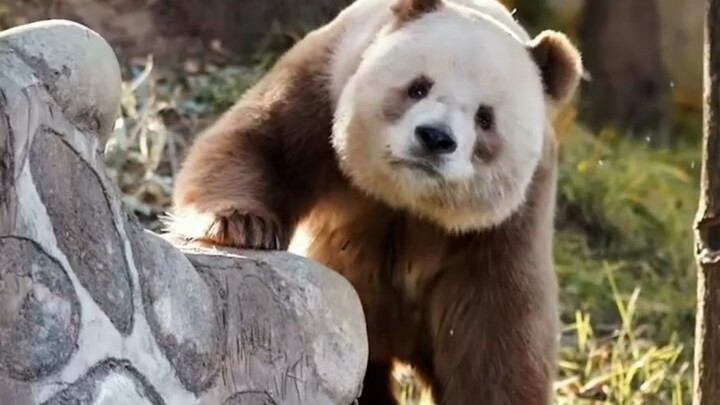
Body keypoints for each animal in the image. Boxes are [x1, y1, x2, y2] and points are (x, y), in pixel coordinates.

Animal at [166, 0, 582, 403]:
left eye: (485, 117)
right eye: (418, 87)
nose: (434, 137)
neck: (407, 198)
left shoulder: (511, 221)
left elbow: (495, 340)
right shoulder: (327, 81)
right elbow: (261, 142)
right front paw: (241, 225)